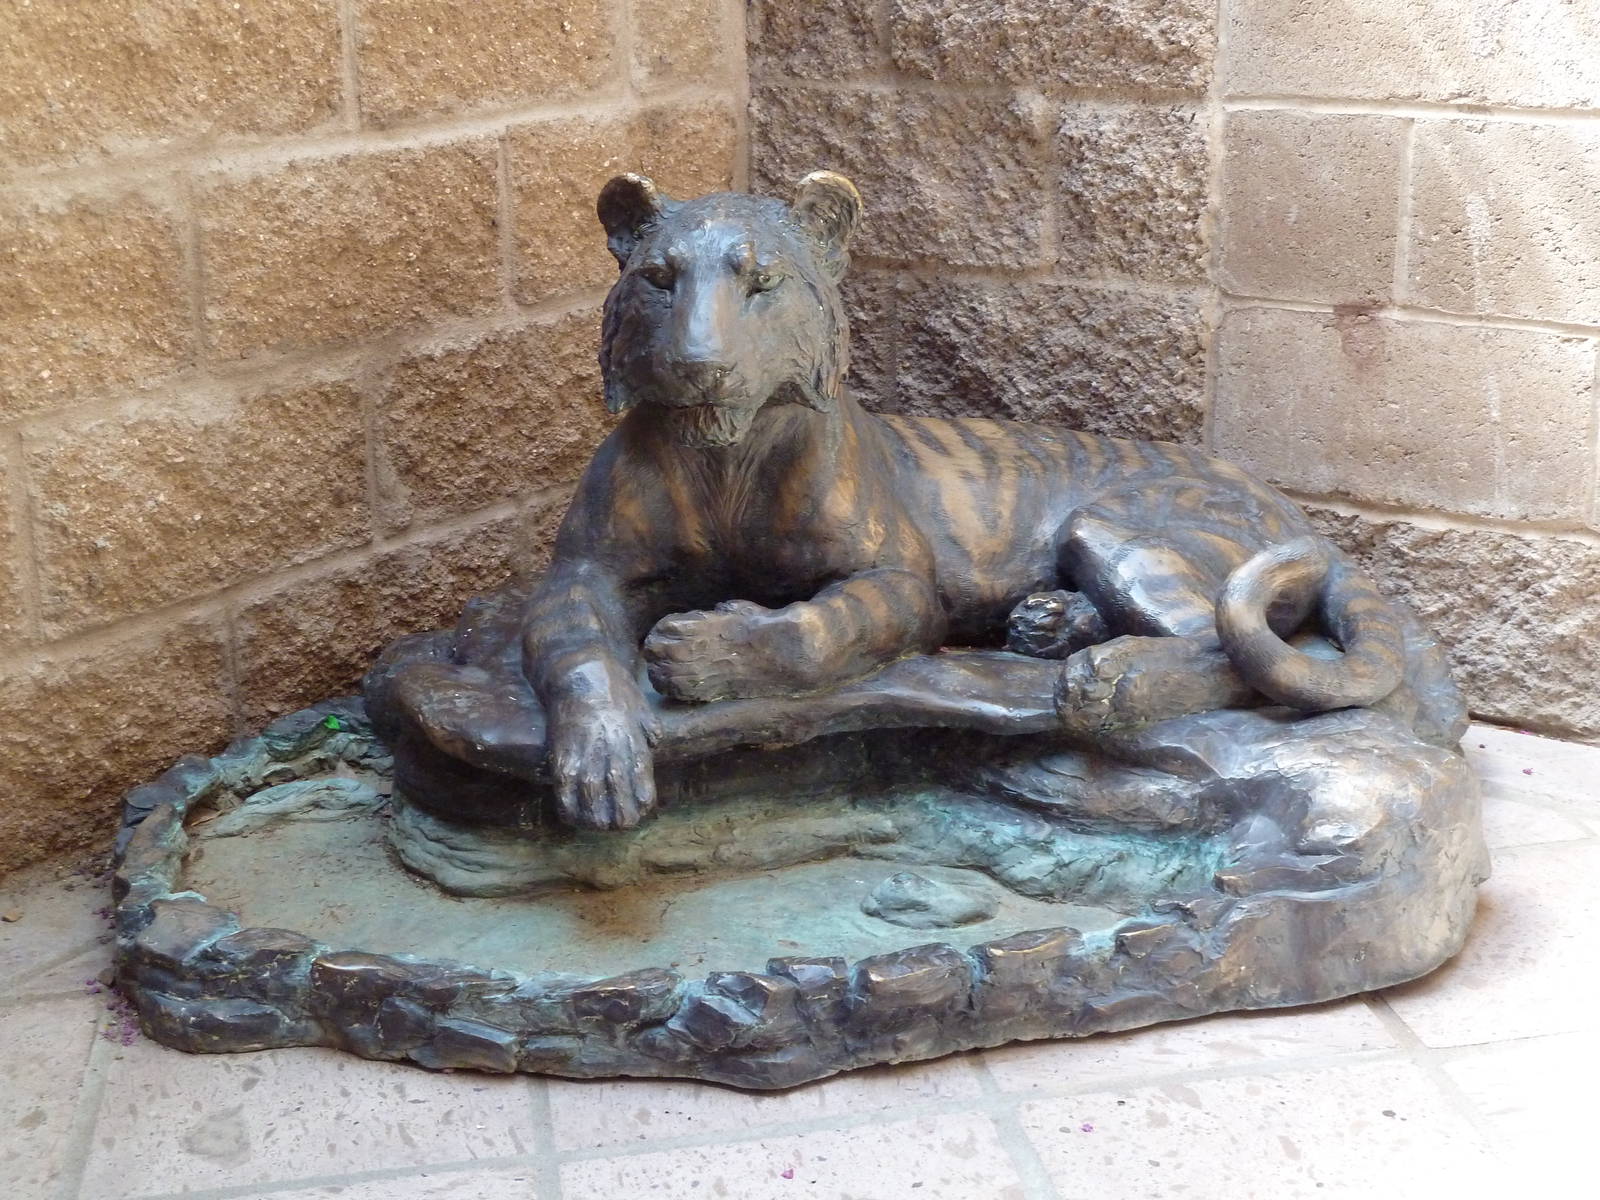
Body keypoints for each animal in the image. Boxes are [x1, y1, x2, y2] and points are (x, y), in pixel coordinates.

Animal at [521, 170, 1436, 831]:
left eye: (761, 281)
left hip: (1115, 521)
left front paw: (704, 650)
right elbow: (578, 654)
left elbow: (816, 632)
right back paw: (1050, 625)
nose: (698, 364)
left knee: (1233, 650)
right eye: (659, 278)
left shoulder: (896, 578)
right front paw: (600, 766)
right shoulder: (583, 571)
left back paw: (1108, 679)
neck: (725, 456)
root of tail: (1295, 511)